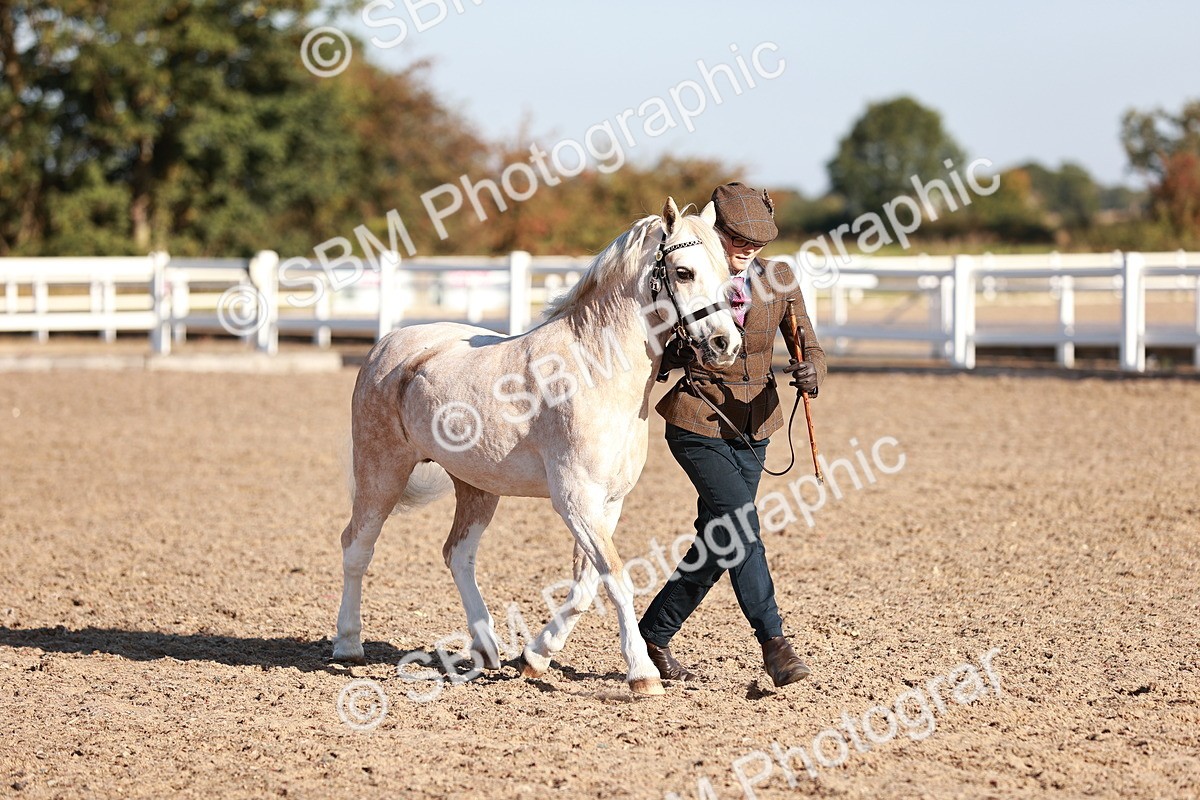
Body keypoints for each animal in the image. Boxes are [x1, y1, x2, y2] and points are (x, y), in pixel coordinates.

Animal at [332, 197, 742, 695]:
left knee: (458, 554)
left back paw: (487, 650)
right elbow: (616, 579)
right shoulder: (575, 499)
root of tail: (387, 344)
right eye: (683, 272)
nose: (725, 344)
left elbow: (587, 585)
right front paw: (642, 674)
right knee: (357, 546)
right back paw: (348, 644)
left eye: (727, 273)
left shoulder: (608, 503)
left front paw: (535, 657)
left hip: (476, 486)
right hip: (382, 472)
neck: (595, 368)